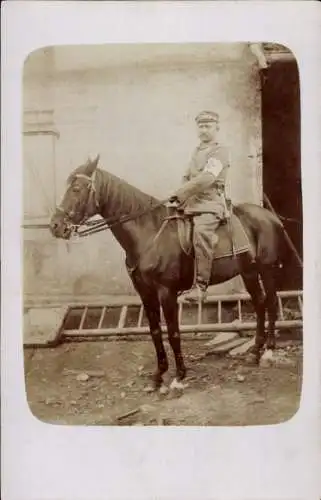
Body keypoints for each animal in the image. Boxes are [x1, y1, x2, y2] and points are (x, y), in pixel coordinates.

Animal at [50, 155, 284, 390]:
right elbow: (155, 332)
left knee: (271, 302)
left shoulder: (166, 292)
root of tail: (270, 216)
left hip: (266, 269)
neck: (148, 234)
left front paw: (179, 376)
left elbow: (173, 332)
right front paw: (158, 376)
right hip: (249, 272)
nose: (55, 226)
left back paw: (268, 352)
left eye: (76, 188)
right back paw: (255, 352)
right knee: (260, 303)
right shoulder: (145, 293)